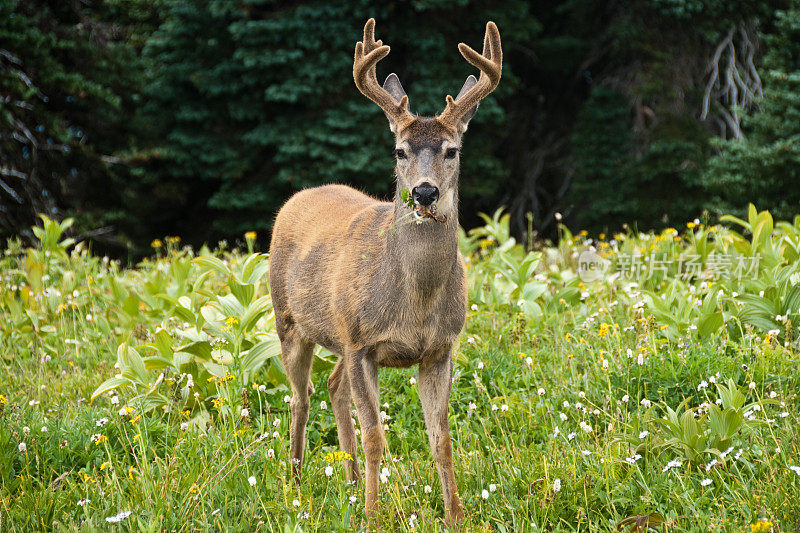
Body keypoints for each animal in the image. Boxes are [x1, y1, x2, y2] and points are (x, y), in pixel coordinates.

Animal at [268, 17, 500, 528]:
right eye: (399, 150)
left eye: (452, 150)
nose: (425, 192)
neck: (414, 301)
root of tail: (299, 196)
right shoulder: (360, 342)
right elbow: (375, 435)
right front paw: (374, 517)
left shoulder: (440, 349)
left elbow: (442, 439)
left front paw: (456, 516)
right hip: (289, 321)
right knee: (301, 396)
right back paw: (294, 483)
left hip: (334, 334)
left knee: (334, 387)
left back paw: (351, 482)